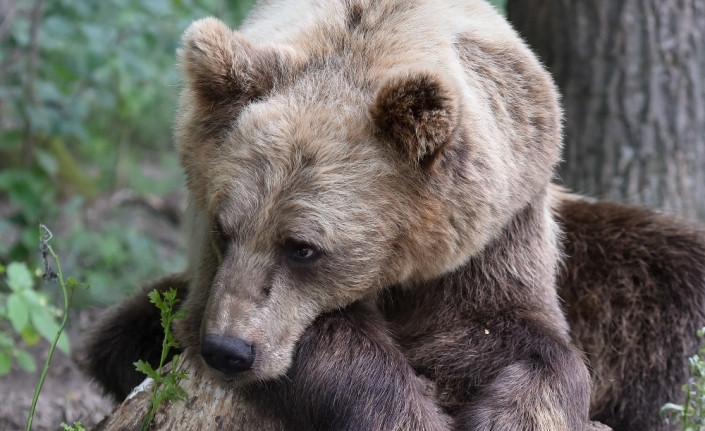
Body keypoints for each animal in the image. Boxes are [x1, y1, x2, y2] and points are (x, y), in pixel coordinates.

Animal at [77, 0, 704, 431]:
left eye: (303, 247)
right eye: (223, 229)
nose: (228, 350)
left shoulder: (496, 232)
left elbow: (522, 340)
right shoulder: (209, 273)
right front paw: (406, 410)